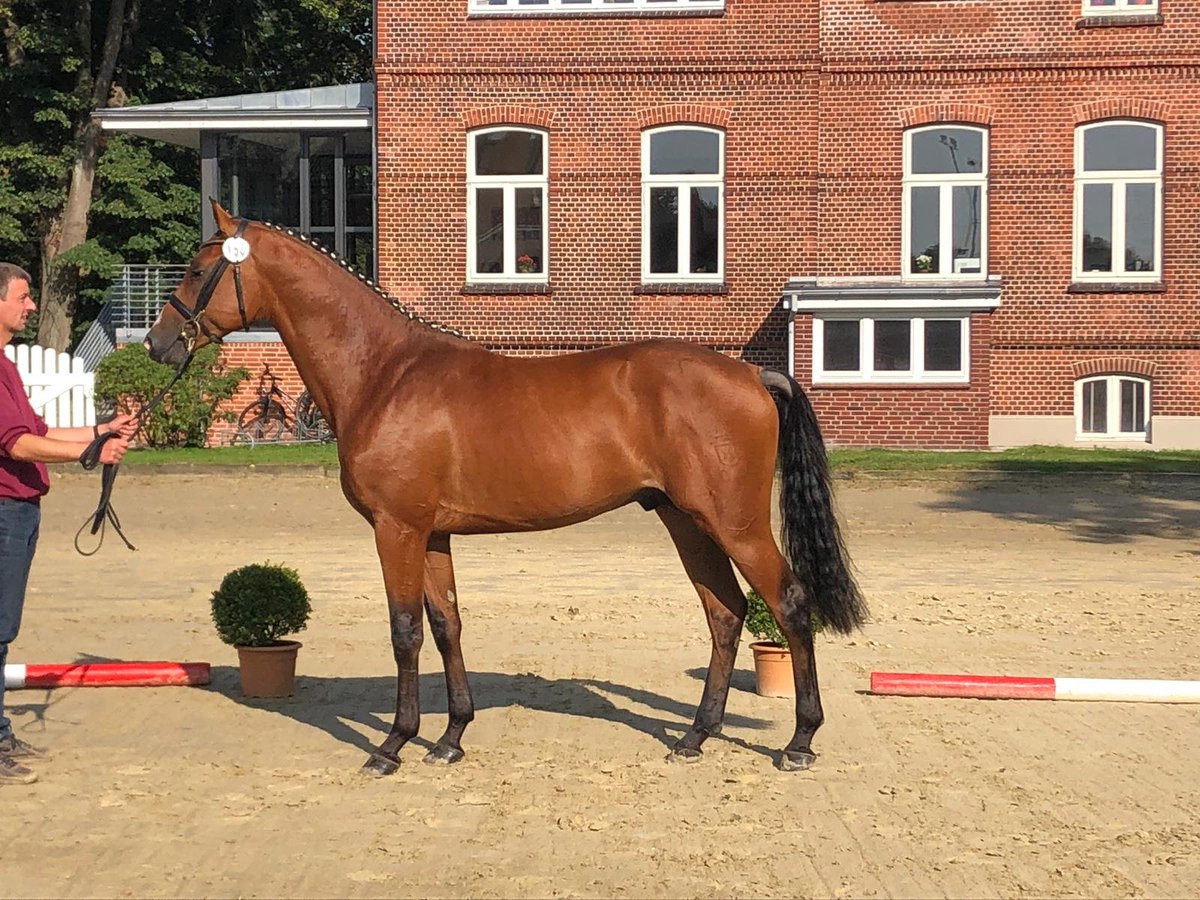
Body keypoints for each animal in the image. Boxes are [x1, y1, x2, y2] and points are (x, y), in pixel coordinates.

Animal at [145, 201, 867, 774]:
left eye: (196, 270)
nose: (157, 344)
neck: (384, 373)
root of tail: (752, 376)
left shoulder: (397, 527)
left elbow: (405, 631)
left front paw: (392, 745)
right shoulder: (432, 533)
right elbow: (446, 626)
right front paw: (450, 738)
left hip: (734, 522)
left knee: (789, 602)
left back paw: (799, 742)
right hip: (686, 520)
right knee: (725, 612)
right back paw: (694, 737)